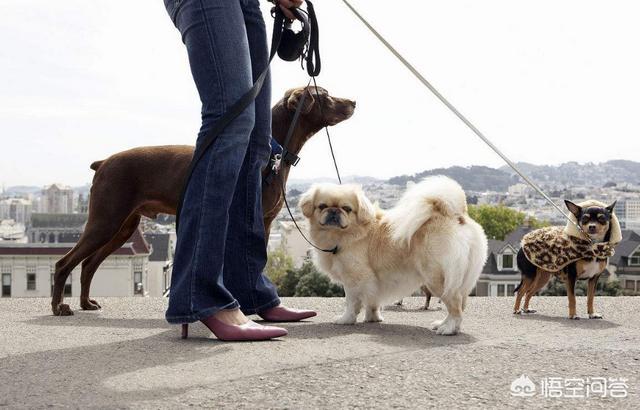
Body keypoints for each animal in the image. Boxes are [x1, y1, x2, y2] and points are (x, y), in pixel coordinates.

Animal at [51, 86, 356, 316]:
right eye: (325, 94)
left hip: (123, 228)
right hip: (105, 220)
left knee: (88, 264)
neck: (271, 152)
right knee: (64, 263)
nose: (353, 101)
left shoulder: (265, 223)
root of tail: (103, 162)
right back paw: (59, 306)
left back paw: (85, 303)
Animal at [302, 175, 488, 334]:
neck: (350, 233)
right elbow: (372, 302)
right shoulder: (373, 281)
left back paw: (447, 329)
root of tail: (457, 215)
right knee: (458, 305)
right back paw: (442, 324)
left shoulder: (355, 278)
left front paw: (346, 320)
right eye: (322, 206)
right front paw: (373, 318)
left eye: (347, 209)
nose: (334, 211)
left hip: (436, 278)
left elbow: (351, 302)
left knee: (454, 305)